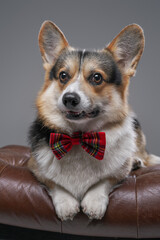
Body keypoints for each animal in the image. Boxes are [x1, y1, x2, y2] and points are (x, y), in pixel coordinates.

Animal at [28, 21, 160, 221]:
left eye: (96, 77)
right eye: (63, 76)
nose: (69, 98)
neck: (79, 137)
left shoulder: (118, 171)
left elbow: (105, 180)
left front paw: (94, 202)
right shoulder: (34, 166)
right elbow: (54, 182)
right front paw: (66, 203)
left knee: (142, 155)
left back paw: (136, 161)